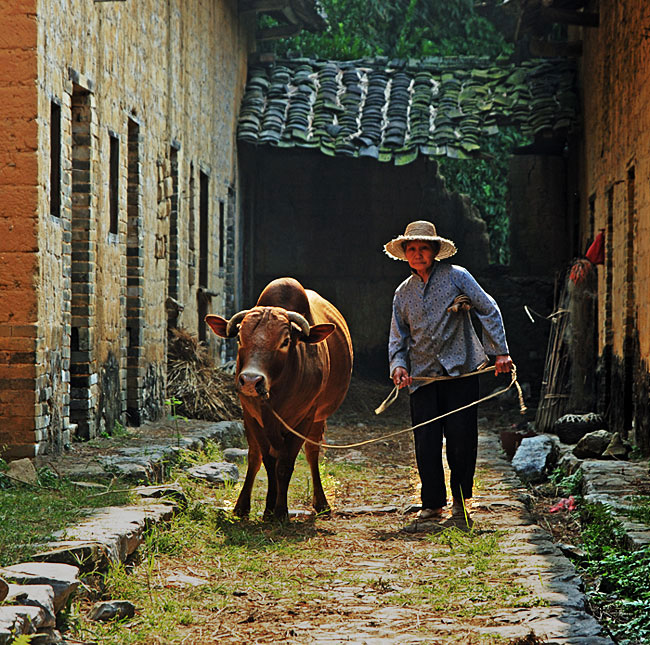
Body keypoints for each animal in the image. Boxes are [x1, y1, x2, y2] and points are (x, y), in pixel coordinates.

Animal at [205, 276, 352, 520]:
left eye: (285, 341)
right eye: (240, 339)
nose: (251, 380)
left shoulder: (305, 419)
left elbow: (285, 465)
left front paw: (281, 510)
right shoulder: (251, 417)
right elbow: (267, 461)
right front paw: (268, 508)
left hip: (318, 418)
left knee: (312, 454)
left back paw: (321, 502)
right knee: (255, 457)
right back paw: (242, 505)